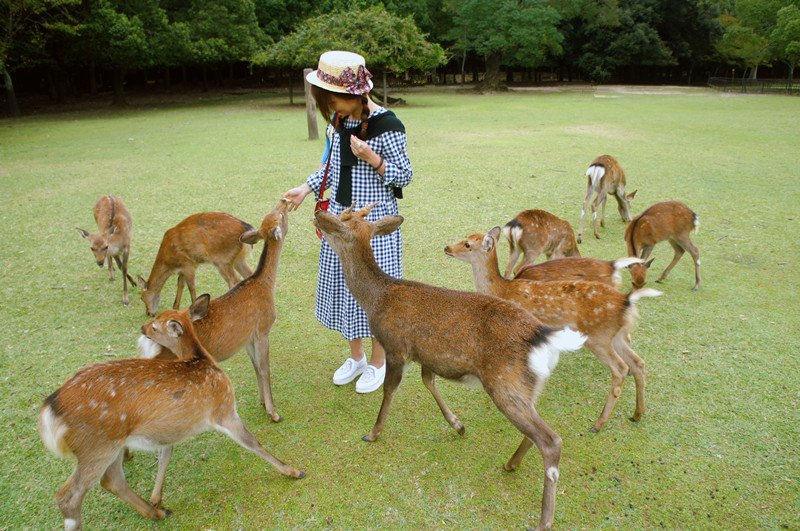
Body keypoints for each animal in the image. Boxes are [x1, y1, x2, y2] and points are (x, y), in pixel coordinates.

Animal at [36, 300, 306, 531]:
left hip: (108, 445)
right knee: (69, 495)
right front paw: (293, 471)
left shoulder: (172, 429)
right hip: (95, 446)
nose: (143, 327)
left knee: (111, 481)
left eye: (156, 324)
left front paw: (157, 498)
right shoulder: (224, 409)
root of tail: (50, 409)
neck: (202, 360)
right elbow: (253, 442)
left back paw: (156, 511)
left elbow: (166, 455)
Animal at [139, 197, 292, 422]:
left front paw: (263, 402)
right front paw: (274, 413)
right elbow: (265, 369)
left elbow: (256, 367)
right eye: (280, 215)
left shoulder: (247, 337)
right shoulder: (263, 328)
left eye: (272, 213)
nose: (284, 200)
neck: (264, 284)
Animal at [314, 204, 588, 531]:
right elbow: (428, 382)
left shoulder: (396, 346)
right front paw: (457, 424)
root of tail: (546, 339)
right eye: (346, 214)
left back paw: (544, 520)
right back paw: (511, 463)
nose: (318, 216)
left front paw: (373, 432)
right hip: (526, 385)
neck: (376, 299)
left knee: (551, 440)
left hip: (504, 382)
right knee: (537, 430)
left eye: (342, 222)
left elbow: (390, 390)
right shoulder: (427, 355)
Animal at [444, 227, 664, 434]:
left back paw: (598, 424)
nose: (447, 248)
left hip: (597, 336)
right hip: (615, 336)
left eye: (467, 244)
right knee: (638, 362)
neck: (501, 290)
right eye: (466, 238)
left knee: (620, 369)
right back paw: (637, 413)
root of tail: (627, 300)